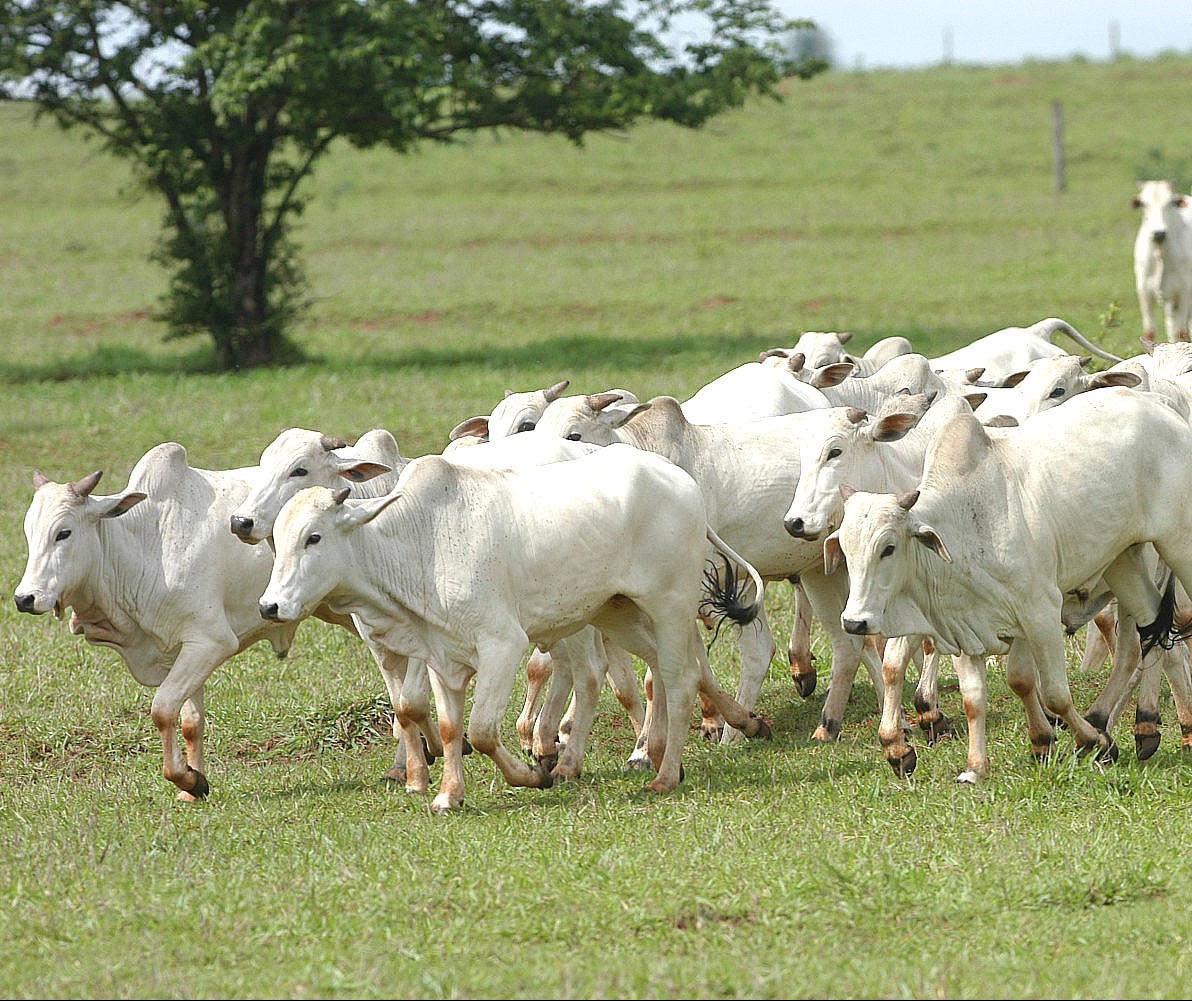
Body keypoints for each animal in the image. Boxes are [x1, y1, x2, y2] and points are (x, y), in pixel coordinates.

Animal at [256, 445, 767, 815]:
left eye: (314, 537)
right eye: (278, 541)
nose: (269, 605)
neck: (421, 545)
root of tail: (680, 480)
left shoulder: (502, 645)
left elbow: (482, 730)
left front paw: (532, 775)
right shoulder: (441, 657)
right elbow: (448, 727)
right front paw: (448, 794)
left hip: (668, 606)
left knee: (679, 680)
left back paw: (665, 774)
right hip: (616, 612)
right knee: (664, 670)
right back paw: (727, 728)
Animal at [829, 388, 1192, 781]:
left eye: (889, 548)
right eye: (845, 548)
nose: (854, 622)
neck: (966, 523)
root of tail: (1160, 406)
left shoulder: (1040, 612)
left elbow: (1055, 694)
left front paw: (1091, 741)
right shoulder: (966, 626)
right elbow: (978, 696)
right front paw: (976, 767)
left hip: (1177, 544)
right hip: (1123, 562)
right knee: (1151, 633)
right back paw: (1135, 727)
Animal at [1125, 179, 1192, 347]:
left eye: (1171, 202)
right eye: (1144, 203)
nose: (1159, 233)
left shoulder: (1183, 292)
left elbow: (1180, 333)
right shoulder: (1144, 292)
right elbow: (1149, 332)